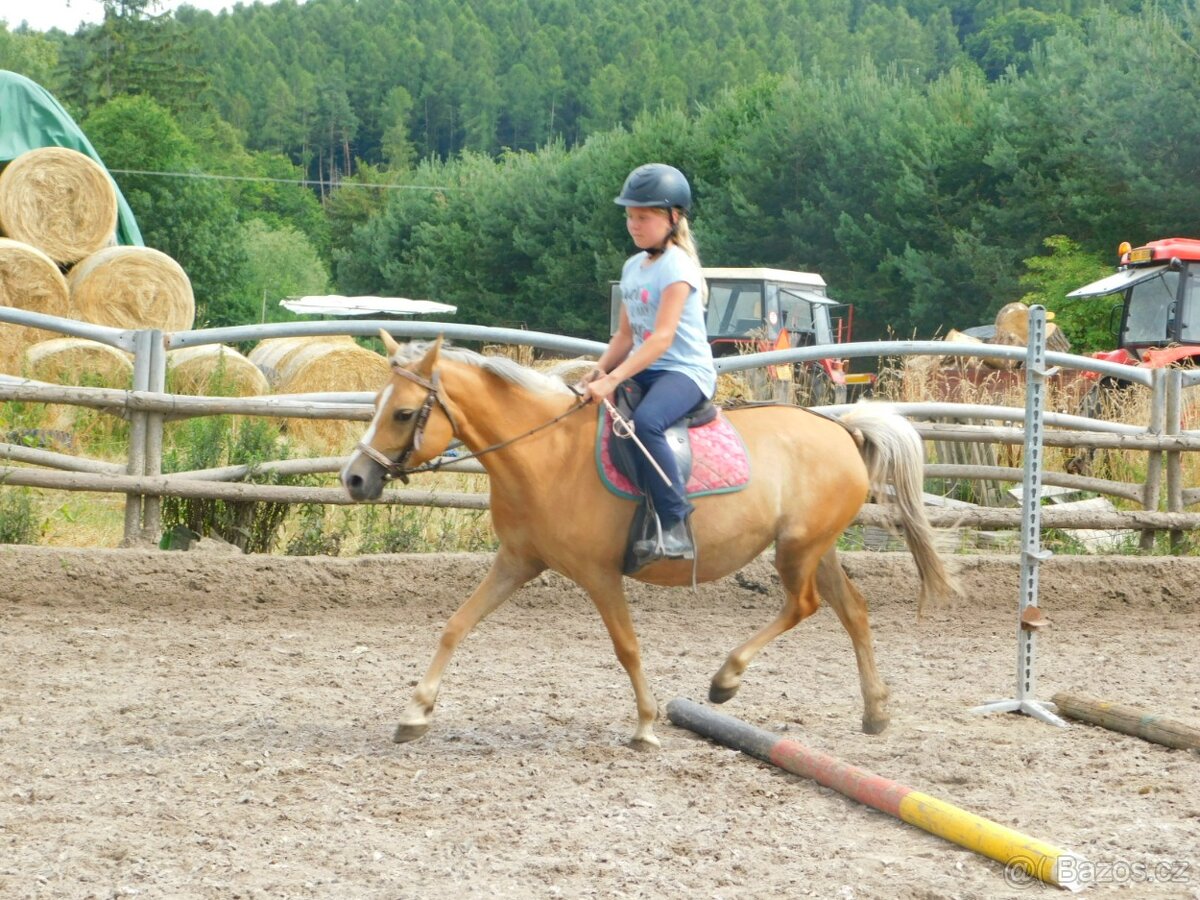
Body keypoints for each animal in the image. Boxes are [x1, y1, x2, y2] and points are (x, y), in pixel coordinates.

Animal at [341, 333, 957, 747]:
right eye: (373, 405)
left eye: (403, 413)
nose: (354, 479)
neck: (544, 453)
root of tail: (842, 428)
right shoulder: (517, 561)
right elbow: (456, 624)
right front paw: (416, 712)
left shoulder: (598, 574)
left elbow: (627, 646)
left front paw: (645, 724)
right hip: (816, 548)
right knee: (852, 610)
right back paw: (875, 712)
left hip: (796, 551)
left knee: (803, 605)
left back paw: (725, 680)